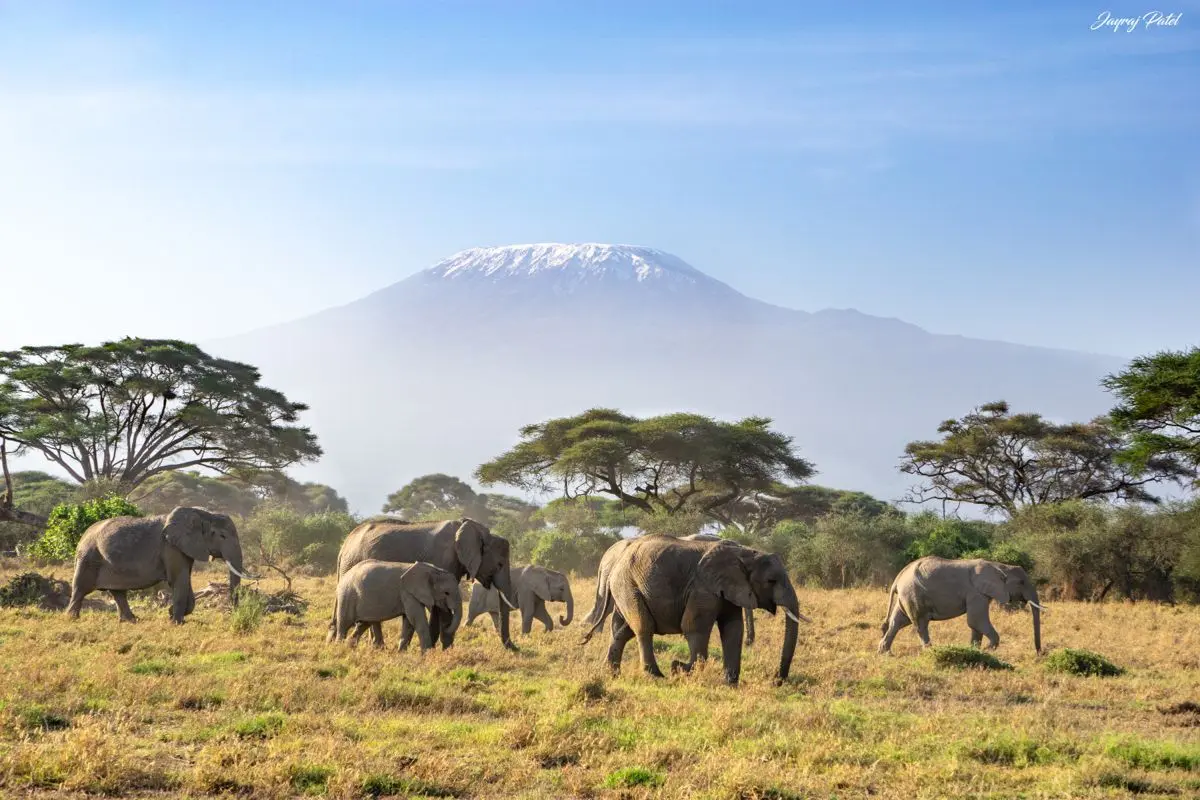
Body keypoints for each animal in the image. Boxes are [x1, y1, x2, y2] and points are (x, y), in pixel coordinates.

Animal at [67, 506, 255, 624]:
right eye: (222, 536)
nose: (231, 613)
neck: (200, 513)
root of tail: (82, 536)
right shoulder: (170, 547)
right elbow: (179, 580)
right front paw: (176, 622)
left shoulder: (183, 547)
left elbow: (184, 579)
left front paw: (173, 615)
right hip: (88, 557)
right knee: (81, 588)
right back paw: (72, 618)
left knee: (118, 592)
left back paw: (131, 621)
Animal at [331, 559, 463, 652]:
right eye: (446, 593)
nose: (446, 628)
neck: (432, 570)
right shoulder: (407, 592)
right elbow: (416, 620)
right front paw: (427, 654)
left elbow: (409, 622)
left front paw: (401, 653)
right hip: (347, 595)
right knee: (344, 625)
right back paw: (339, 649)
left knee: (364, 624)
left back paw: (350, 647)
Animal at [582, 535, 808, 686]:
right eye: (771, 581)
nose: (777, 680)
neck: (745, 553)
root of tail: (616, 561)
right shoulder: (703, 587)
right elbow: (694, 627)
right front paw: (681, 669)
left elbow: (733, 629)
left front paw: (730, 684)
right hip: (628, 584)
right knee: (644, 627)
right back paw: (655, 676)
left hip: (626, 588)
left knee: (624, 629)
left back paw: (612, 674)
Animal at [878, 556, 1043, 654]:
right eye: (1021, 582)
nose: (1039, 653)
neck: (999, 566)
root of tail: (898, 578)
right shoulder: (975, 593)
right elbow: (975, 621)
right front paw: (987, 650)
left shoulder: (982, 593)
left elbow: (976, 625)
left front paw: (975, 651)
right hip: (913, 594)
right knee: (920, 624)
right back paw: (930, 652)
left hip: (907, 596)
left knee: (897, 622)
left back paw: (884, 653)